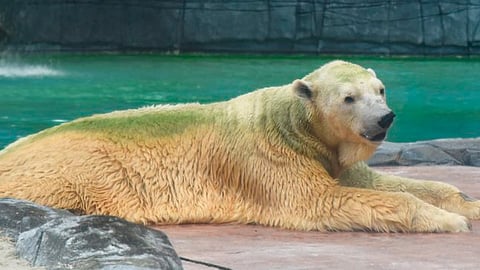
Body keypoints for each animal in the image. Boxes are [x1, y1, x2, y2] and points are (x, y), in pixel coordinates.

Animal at [0, 60, 480, 232]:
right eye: (349, 98)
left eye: (380, 90)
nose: (384, 118)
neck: (291, 123)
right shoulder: (270, 160)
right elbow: (321, 201)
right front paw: (447, 220)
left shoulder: (328, 154)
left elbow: (379, 182)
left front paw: (466, 205)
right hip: (75, 176)